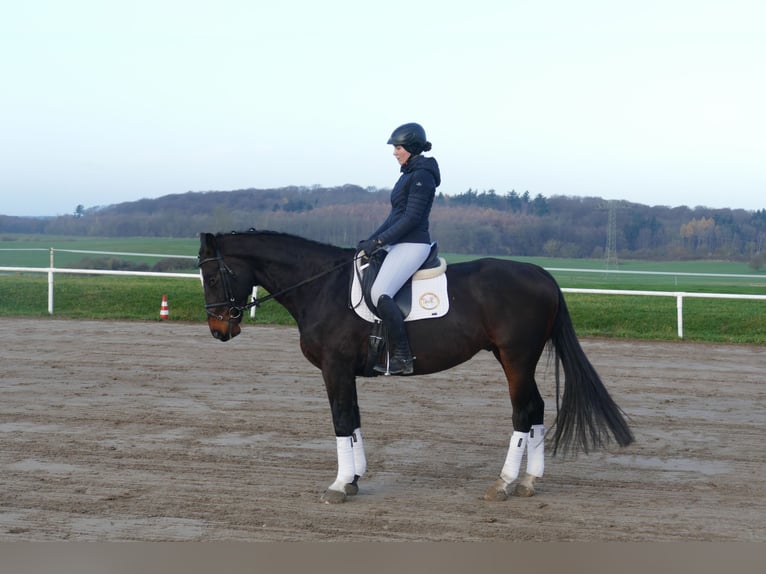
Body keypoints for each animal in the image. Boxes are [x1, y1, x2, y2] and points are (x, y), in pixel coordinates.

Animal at [198, 230, 636, 504]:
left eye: (213, 276)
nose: (219, 330)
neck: (320, 286)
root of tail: (542, 273)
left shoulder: (334, 368)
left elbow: (341, 420)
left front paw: (338, 485)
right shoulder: (344, 371)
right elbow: (354, 420)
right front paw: (354, 479)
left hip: (516, 356)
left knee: (523, 411)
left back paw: (504, 484)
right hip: (513, 357)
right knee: (538, 408)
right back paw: (529, 481)